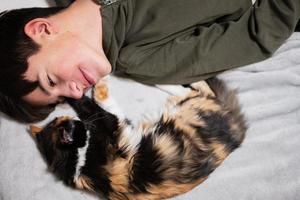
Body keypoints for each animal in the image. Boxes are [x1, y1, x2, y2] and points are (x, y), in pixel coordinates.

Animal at [29, 78, 246, 200]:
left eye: (57, 119)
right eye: (68, 122)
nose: (67, 117)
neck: (77, 162)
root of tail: (235, 125)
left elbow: (88, 103)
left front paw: (64, 93)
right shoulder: (112, 122)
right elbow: (97, 97)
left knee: (199, 88)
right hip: (192, 104)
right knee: (199, 87)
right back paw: (163, 81)